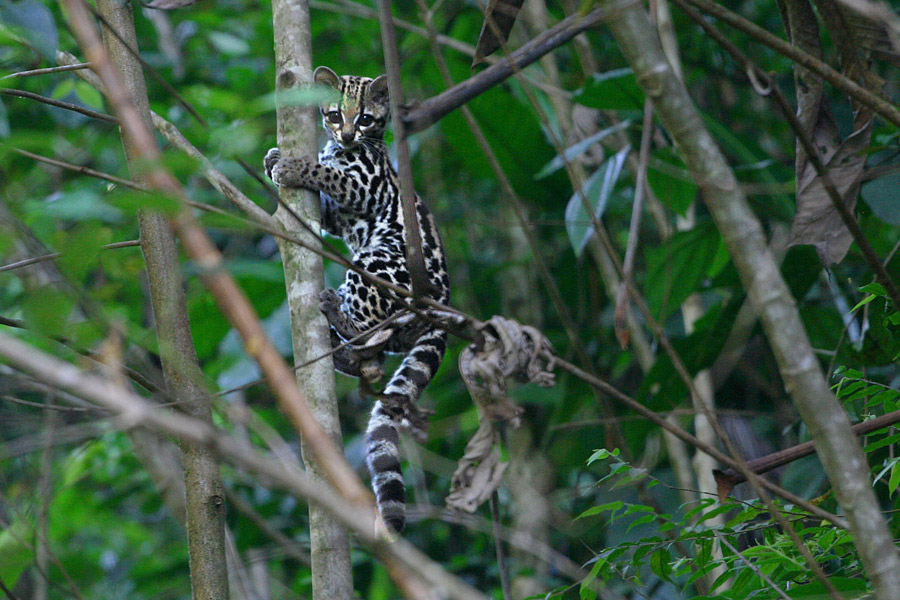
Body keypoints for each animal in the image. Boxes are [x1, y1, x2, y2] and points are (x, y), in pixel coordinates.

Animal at [266, 65, 450, 532]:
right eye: (334, 114)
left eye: (365, 118)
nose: (348, 134)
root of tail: (441, 308)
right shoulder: (336, 211)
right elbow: (327, 201)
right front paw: (272, 159)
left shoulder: (366, 188)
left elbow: (328, 174)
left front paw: (293, 165)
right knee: (375, 357)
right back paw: (338, 348)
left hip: (378, 263)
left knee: (371, 331)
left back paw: (337, 320)